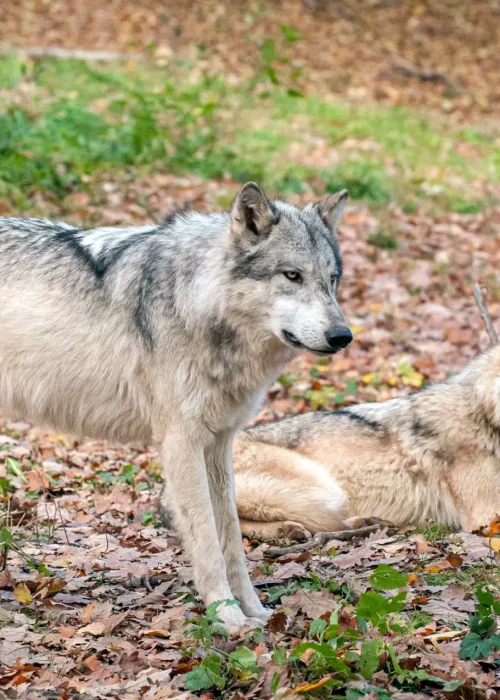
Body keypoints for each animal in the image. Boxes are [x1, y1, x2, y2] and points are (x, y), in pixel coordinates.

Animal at [0, 183, 352, 632]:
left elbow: (232, 539)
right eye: (292, 275)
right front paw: (228, 617)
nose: (343, 336)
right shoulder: (181, 444)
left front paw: (254, 611)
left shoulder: (218, 444)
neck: (198, 303)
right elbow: (206, 540)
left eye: (332, 280)